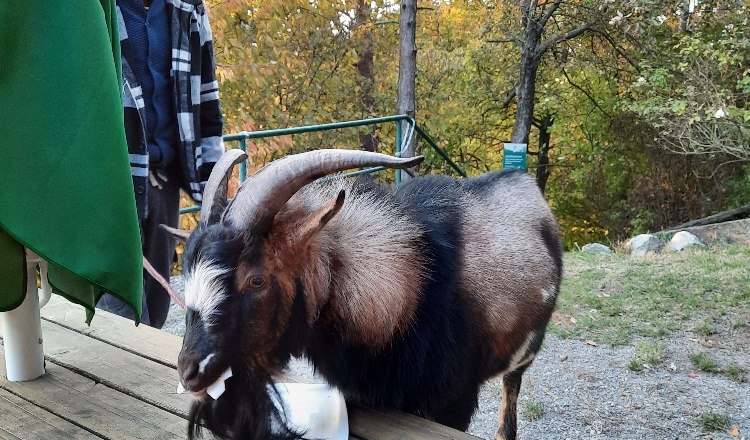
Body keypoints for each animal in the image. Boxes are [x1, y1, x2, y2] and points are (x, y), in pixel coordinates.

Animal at [173, 149, 560, 440]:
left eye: (256, 280)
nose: (189, 372)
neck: (410, 291)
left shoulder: (455, 401)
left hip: (524, 353)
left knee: (511, 389)